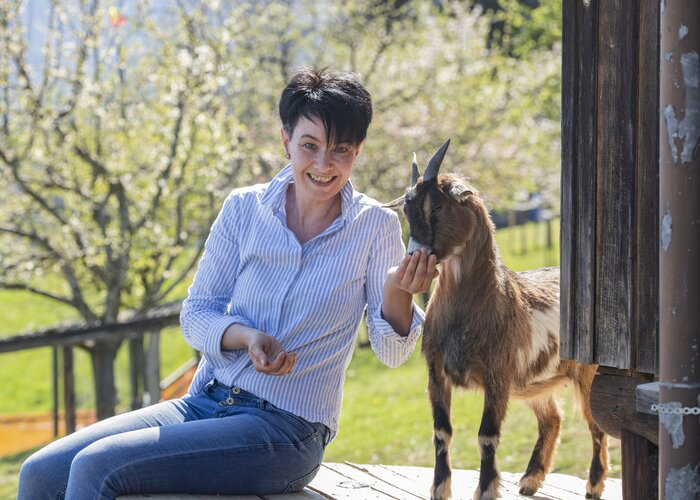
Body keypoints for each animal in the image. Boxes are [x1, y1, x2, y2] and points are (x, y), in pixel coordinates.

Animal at [386, 141, 608, 500]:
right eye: (406, 210)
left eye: (437, 206)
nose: (413, 256)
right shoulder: (436, 370)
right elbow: (441, 431)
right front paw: (440, 488)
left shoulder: (497, 375)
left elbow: (486, 435)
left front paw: (487, 489)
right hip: (534, 384)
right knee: (552, 418)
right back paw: (531, 480)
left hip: (586, 374)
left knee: (595, 424)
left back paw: (594, 484)